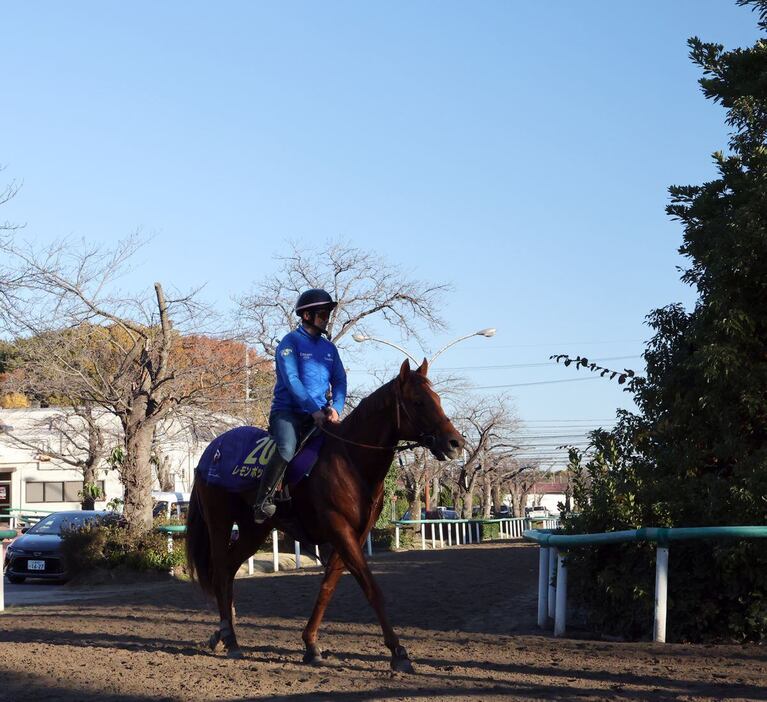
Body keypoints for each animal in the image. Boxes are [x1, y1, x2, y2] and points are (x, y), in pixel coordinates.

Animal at [186, 360, 464, 672]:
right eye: (418, 402)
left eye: (438, 399)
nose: (455, 442)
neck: (351, 460)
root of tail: (211, 451)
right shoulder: (339, 528)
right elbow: (371, 587)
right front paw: (398, 651)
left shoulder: (355, 534)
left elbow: (328, 585)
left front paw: (311, 645)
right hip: (219, 521)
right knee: (221, 570)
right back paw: (230, 638)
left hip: (253, 529)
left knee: (230, 570)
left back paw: (222, 633)